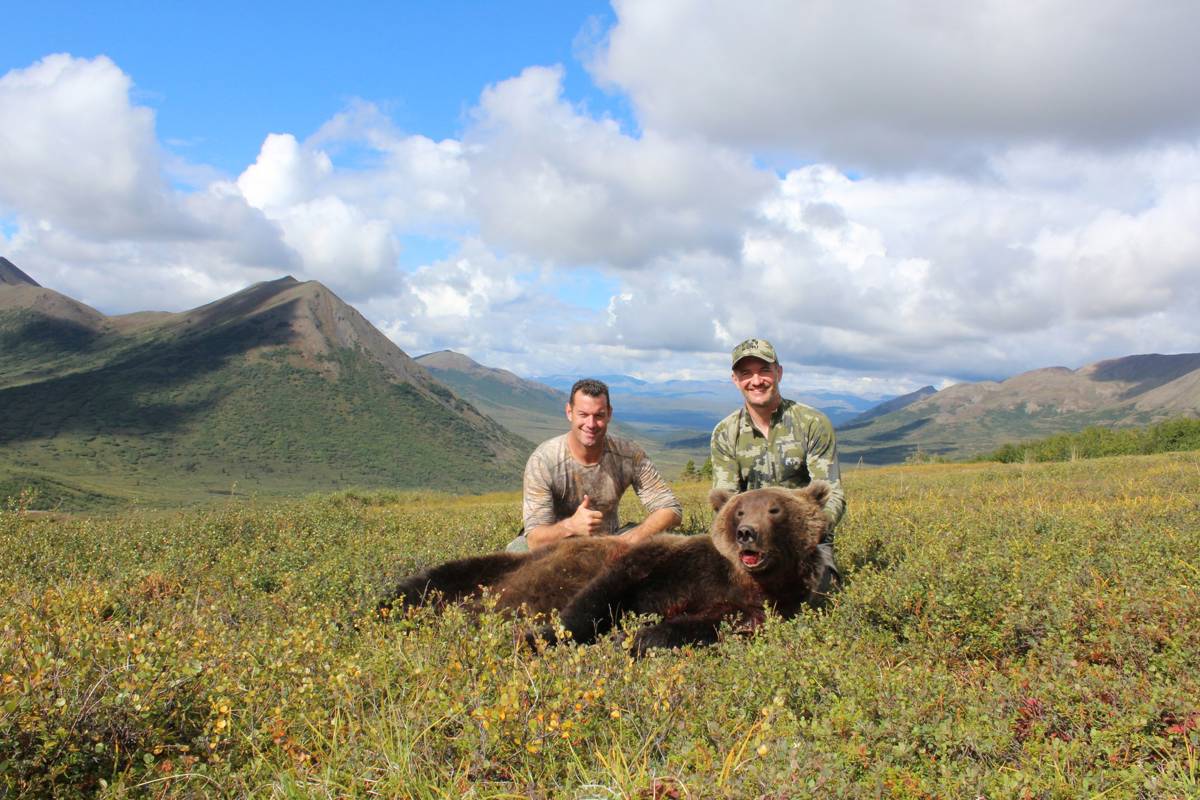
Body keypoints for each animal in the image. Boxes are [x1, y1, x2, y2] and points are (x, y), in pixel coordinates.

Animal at [384, 482, 835, 657]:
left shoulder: (755, 606)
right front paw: (537, 637)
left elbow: (701, 626)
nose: (746, 534)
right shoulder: (669, 562)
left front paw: (635, 637)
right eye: (740, 510)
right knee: (425, 581)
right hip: (499, 566)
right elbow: (598, 597)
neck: (743, 580)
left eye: (774, 509)